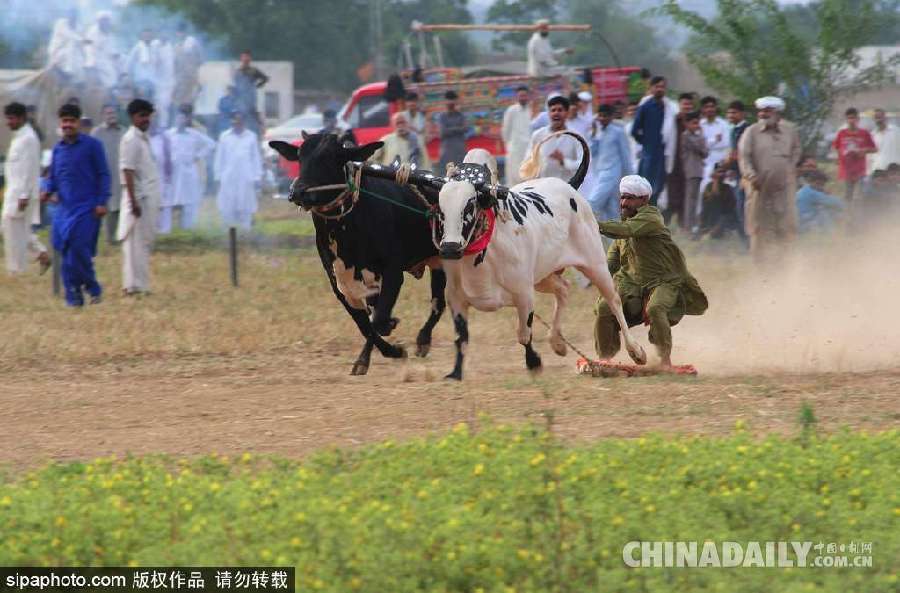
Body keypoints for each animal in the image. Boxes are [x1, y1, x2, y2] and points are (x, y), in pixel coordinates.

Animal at [268, 136, 448, 372]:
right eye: (300, 157)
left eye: (333, 157)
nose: (298, 192)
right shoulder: (338, 282)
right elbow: (365, 324)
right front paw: (387, 350)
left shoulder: (393, 272)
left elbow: (378, 320)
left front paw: (375, 354)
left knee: (438, 303)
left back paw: (423, 339)